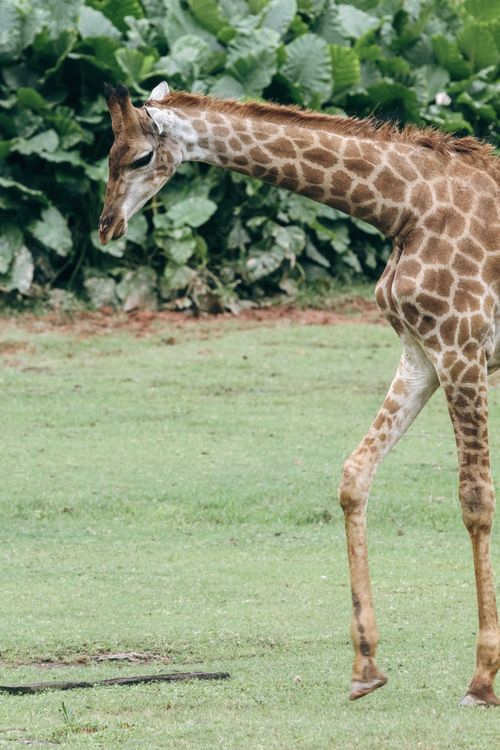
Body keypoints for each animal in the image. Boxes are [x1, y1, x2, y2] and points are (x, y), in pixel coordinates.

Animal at [99, 81, 500, 706]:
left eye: (141, 157)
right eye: (108, 153)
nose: (106, 224)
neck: (405, 208)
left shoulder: (461, 346)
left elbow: (476, 499)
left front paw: (482, 680)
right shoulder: (421, 354)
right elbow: (355, 475)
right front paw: (366, 667)